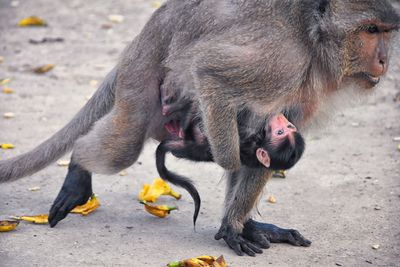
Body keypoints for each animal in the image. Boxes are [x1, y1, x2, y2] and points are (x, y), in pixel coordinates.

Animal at [0, 0, 398, 258]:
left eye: (387, 32)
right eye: (370, 31)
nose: (384, 59)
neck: (315, 40)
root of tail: (144, 34)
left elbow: (265, 151)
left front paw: (237, 224)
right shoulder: (281, 58)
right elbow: (211, 73)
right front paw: (234, 192)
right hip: (142, 77)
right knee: (125, 144)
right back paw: (79, 168)